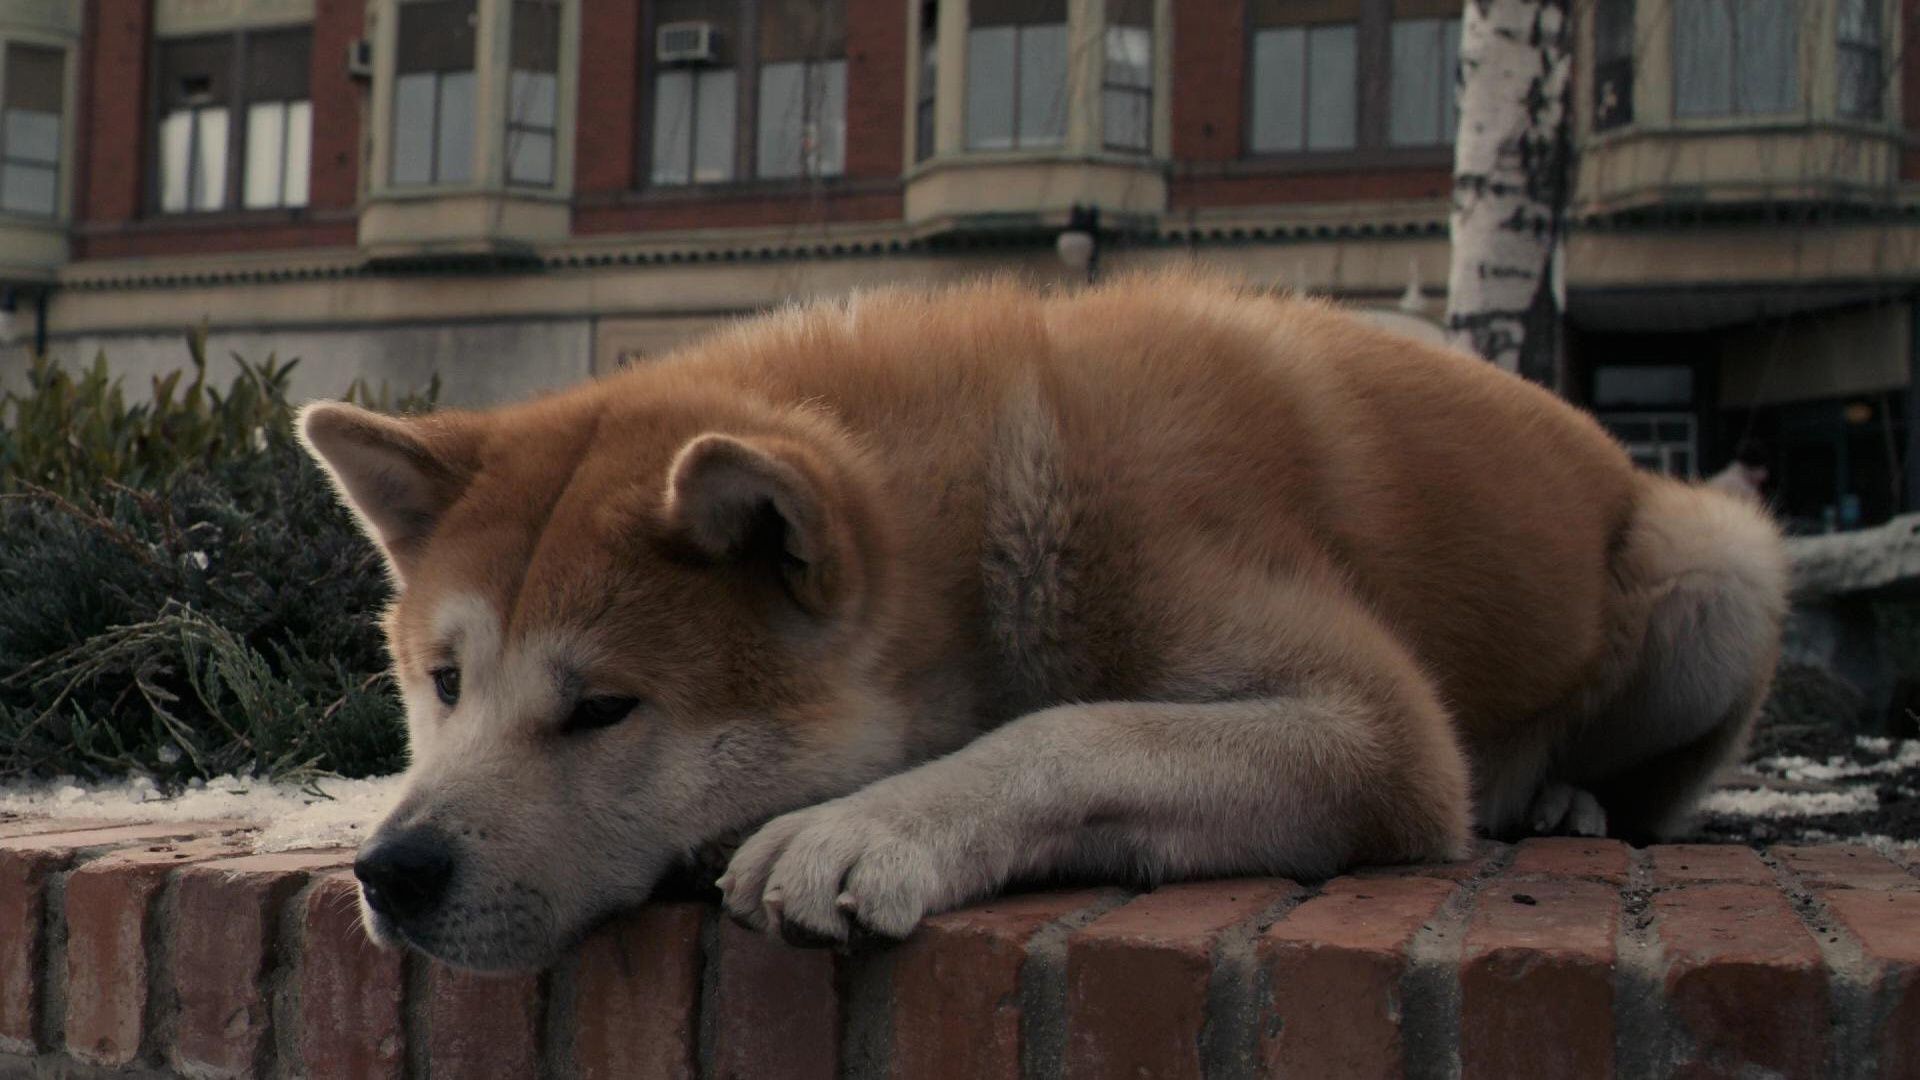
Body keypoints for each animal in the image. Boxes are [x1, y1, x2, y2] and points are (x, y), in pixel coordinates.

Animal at [295, 270, 1781, 968]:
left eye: (603, 707)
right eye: (444, 682)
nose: (394, 871)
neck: (995, 512)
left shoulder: (1381, 735)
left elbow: (1072, 731)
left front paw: (869, 826)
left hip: (1724, 569)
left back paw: (1567, 800)